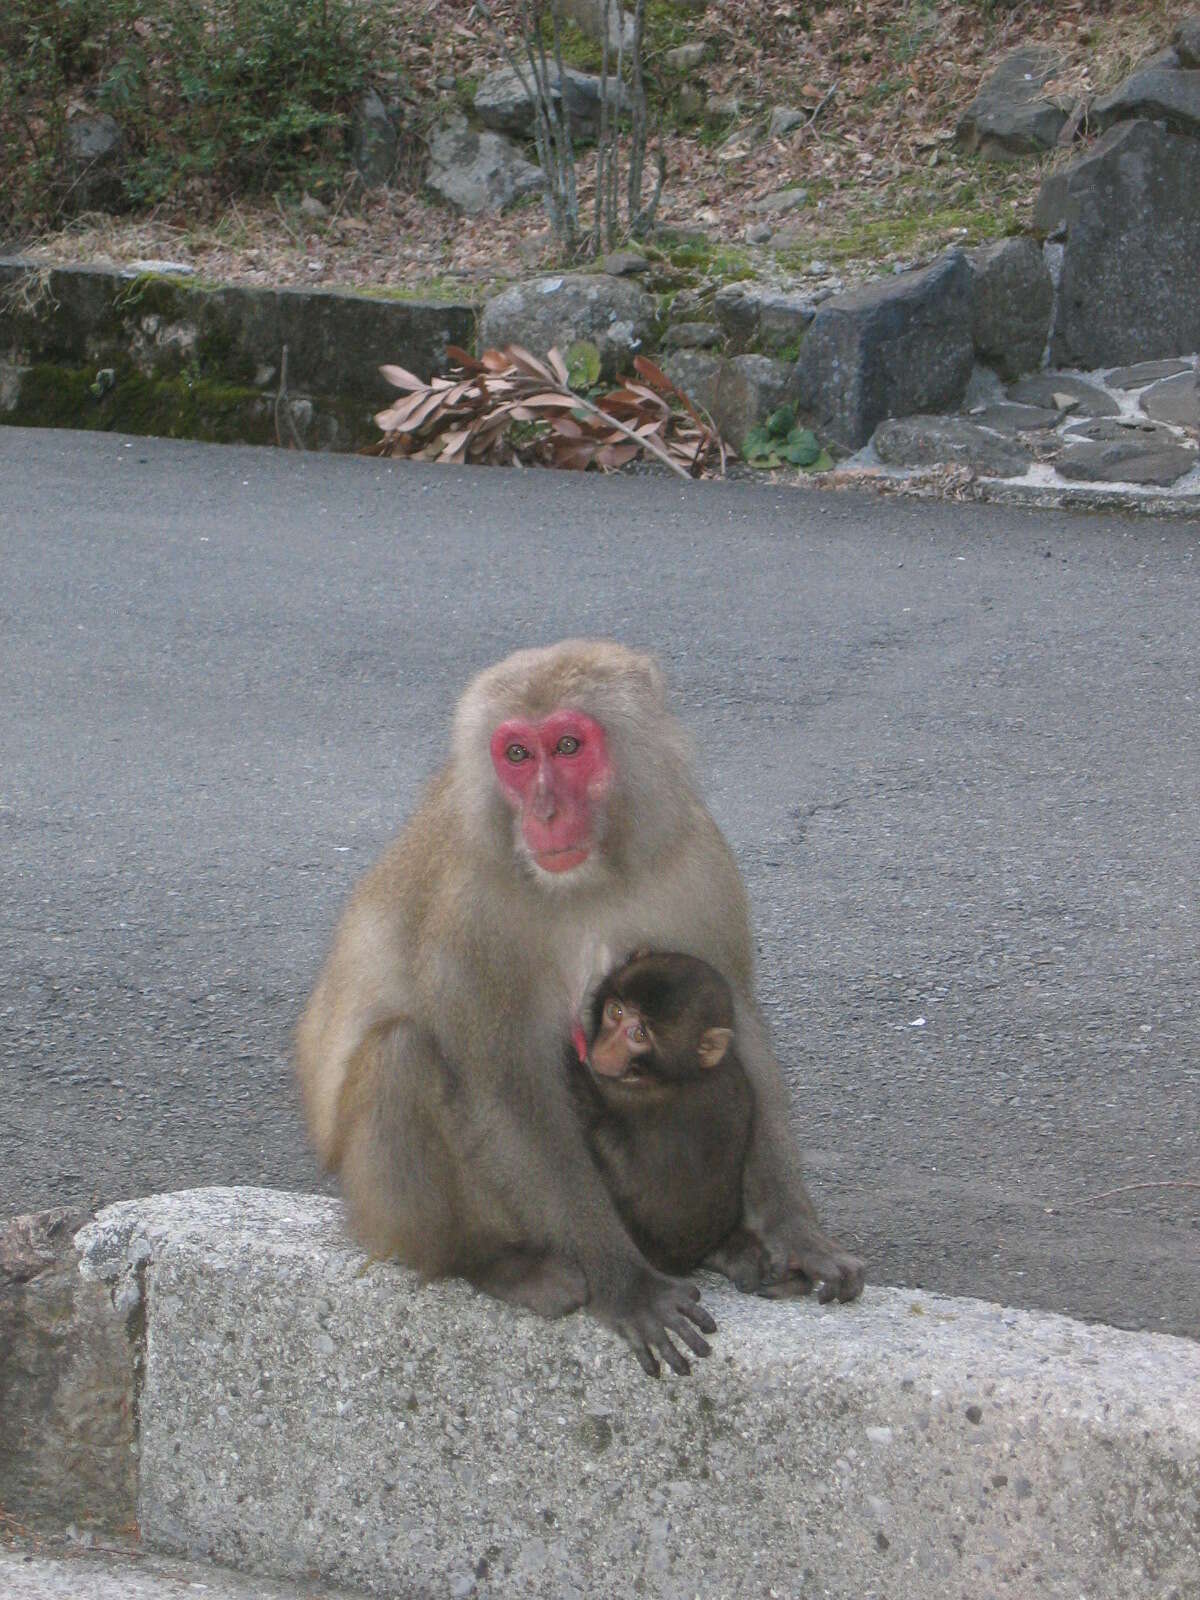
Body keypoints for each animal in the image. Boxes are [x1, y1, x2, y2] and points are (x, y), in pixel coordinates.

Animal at [576, 953, 761, 1280]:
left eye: (639, 1035)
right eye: (616, 1011)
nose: (605, 1050)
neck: (683, 1074)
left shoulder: (634, 1098)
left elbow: (635, 1185)